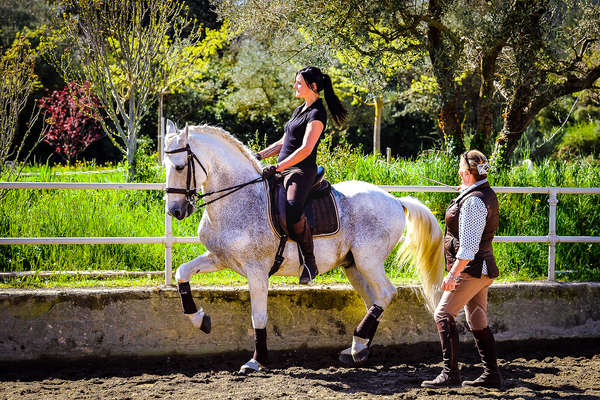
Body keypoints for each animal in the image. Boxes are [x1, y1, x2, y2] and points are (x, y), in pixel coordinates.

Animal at [164, 123, 446, 374]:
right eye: (165, 166)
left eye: (180, 166)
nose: (175, 211)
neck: (239, 199)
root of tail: (396, 200)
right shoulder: (218, 258)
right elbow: (182, 272)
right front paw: (200, 320)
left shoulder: (257, 271)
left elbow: (258, 316)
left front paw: (256, 361)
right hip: (353, 265)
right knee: (373, 299)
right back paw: (358, 348)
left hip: (369, 260)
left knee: (386, 293)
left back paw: (358, 343)